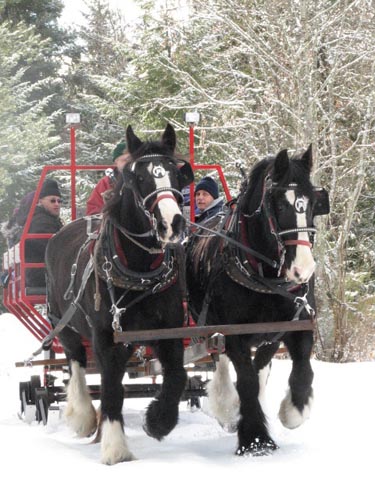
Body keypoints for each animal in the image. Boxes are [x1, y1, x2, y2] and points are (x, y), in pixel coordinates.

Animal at [45, 124, 195, 464]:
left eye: (175, 173)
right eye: (139, 177)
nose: (172, 222)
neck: (139, 269)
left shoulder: (168, 331)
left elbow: (177, 376)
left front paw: (158, 421)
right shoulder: (106, 338)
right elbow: (111, 387)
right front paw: (115, 448)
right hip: (64, 323)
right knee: (76, 363)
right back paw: (84, 416)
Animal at [187, 146, 330, 458]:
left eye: (314, 202)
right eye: (278, 204)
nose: (303, 269)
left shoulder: (293, 326)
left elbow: (303, 372)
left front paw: (292, 413)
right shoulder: (234, 335)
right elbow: (246, 381)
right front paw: (254, 439)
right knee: (222, 362)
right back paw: (228, 407)